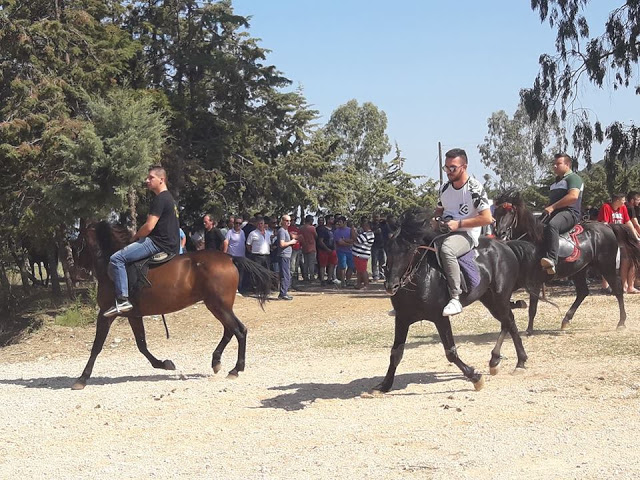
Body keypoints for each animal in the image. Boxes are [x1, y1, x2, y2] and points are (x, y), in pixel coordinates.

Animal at [73, 221, 276, 390]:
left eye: (78, 242)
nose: (77, 271)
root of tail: (229, 258)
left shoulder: (106, 314)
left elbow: (97, 346)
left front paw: (82, 378)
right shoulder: (134, 315)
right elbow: (142, 345)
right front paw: (163, 364)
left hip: (218, 306)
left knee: (239, 331)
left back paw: (235, 369)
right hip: (219, 306)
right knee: (230, 331)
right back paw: (216, 362)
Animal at [372, 208, 528, 392]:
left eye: (409, 249)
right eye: (387, 248)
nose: (391, 285)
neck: (421, 280)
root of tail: (504, 246)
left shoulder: (440, 318)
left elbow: (451, 352)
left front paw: (475, 377)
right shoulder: (402, 319)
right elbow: (395, 353)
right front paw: (385, 384)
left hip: (500, 297)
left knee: (509, 321)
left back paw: (520, 362)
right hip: (489, 300)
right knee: (506, 322)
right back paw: (494, 361)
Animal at [496, 189, 640, 332]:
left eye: (511, 211)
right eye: (497, 211)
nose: (500, 233)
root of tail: (608, 227)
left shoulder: (534, 281)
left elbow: (532, 307)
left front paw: (529, 330)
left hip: (606, 266)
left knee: (617, 289)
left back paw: (621, 322)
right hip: (580, 270)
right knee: (583, 292)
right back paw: (566, 320)